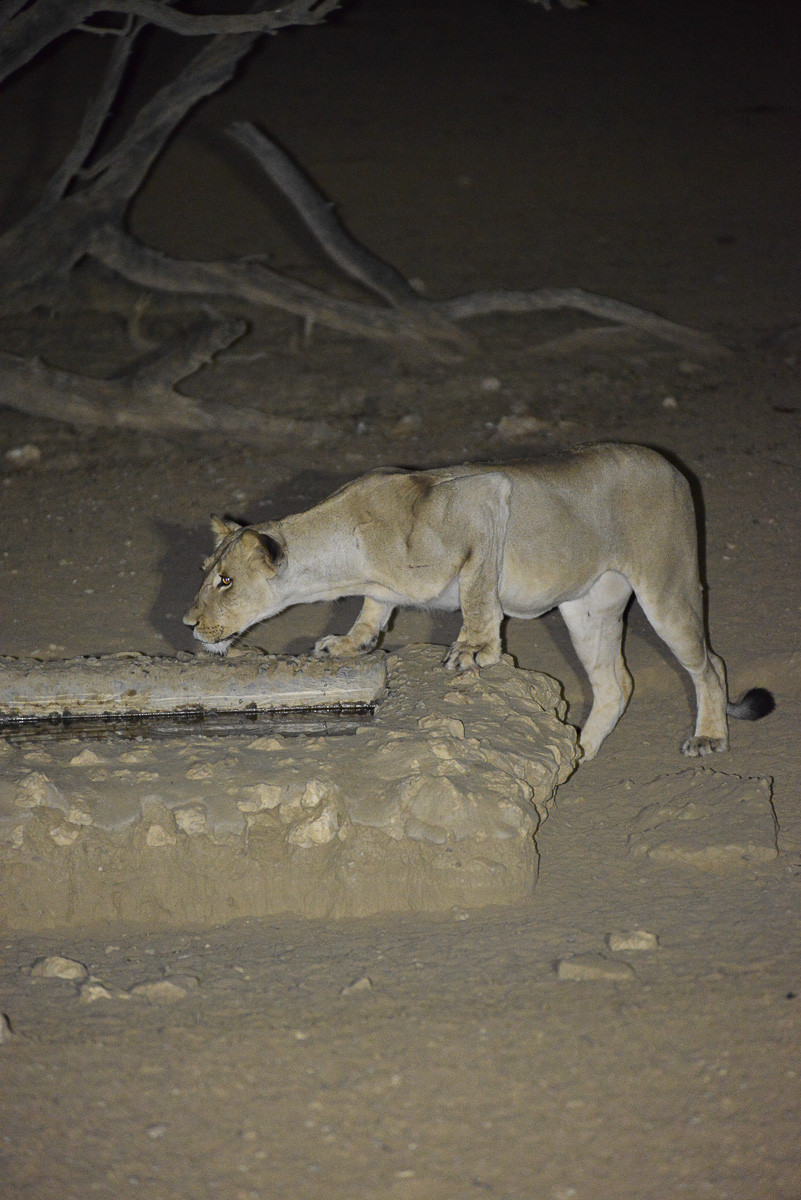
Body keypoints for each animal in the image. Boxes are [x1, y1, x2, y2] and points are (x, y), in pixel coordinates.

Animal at [183, 442, 773, 760]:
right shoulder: (381, 585)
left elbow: (477, 592)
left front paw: (473, 651)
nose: (188, 622)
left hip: (667, 587)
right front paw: (351, 643)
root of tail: (669, 465)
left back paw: (708, 737)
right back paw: (574, 752)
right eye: (206, 572)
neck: (349, 551)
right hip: (585, 608)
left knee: (710, 664)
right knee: (616, 683)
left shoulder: (485, 498)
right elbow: (373, 606)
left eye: (226, 582)